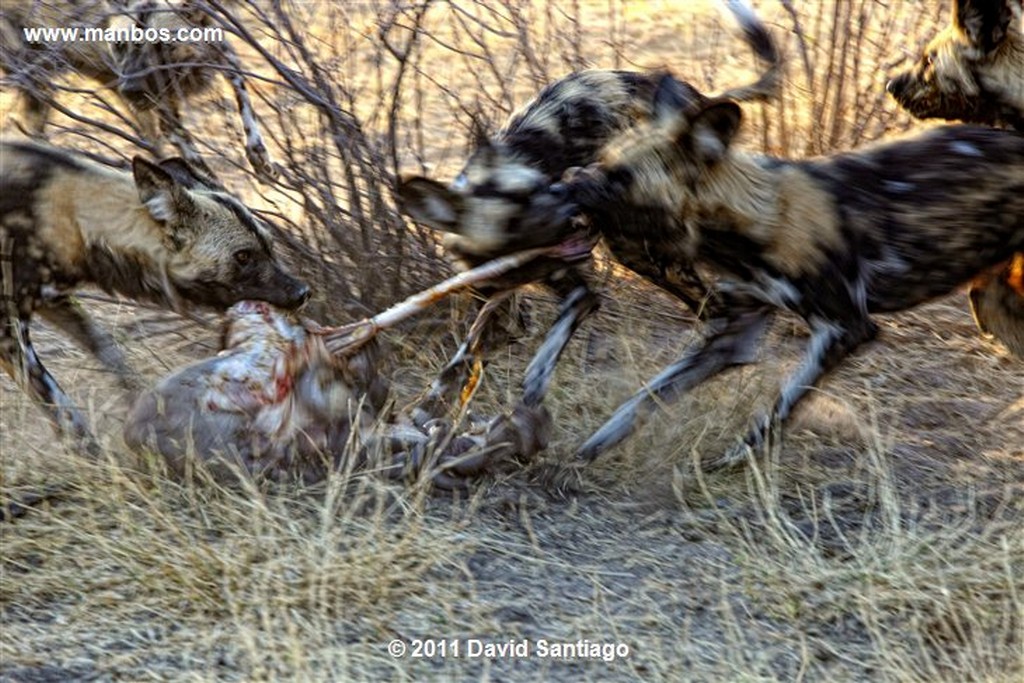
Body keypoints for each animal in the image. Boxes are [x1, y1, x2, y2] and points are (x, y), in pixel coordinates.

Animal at [0, 0, 276, 179]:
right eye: (120, 45)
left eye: (163, 45)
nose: (130, 89)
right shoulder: (166, 115)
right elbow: (200, 168)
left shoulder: (222, 52)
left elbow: (242, 95)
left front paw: (260, 157)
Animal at [2, 137, 309, 454]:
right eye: (244, 256)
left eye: (270, 246)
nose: (303, 293)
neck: (72, 218)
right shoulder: (9, 331)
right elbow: (62, 409)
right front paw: (94, 456)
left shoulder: (53, 300)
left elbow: (111, 354)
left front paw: (141, 406)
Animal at [395, 0, 778, 421]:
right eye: (521, 211)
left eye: (542, 187)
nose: (575, 211)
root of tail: (696, 101)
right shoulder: (496, 302)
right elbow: (462, 359)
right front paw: (430, 407)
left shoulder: (577, 291)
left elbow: (551, 342)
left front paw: (533, 387)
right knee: (712, 307)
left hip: (640, 251)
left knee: (715, 305)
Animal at [540, 76, 1019, 471]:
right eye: (599, 159)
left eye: (620, 177)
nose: (559, 186)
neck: (752, 221)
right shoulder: (732, 335)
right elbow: (639, 402)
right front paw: (575, 460)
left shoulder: (843, 329)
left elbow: (775, 415)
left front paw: (731, 465)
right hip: (995, 309)